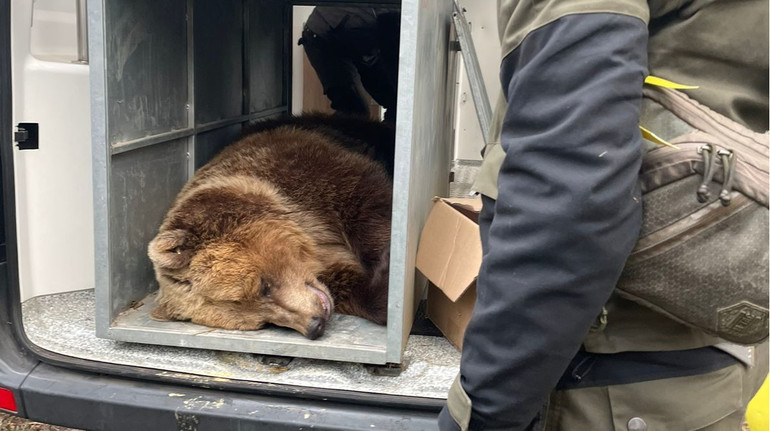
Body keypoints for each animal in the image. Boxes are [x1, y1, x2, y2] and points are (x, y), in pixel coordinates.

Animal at [148, 115, 392, 340]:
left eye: (262, 286)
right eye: (263, 323)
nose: (315, 325)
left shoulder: (311, 173)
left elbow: (370, 205)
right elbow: (350, 286)